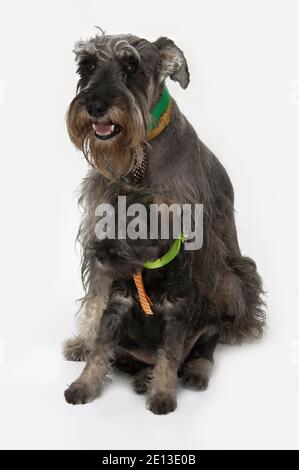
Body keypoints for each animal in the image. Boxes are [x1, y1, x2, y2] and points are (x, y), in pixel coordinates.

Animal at [65, 185, 220, 414]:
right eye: (108, 223)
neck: (146, 272)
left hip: (209, 328)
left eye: (134, 228)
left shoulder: (174, 319)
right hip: (124, 347)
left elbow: (168, 359)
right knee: (136, 364)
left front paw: (162, 395)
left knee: (202, 356)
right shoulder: (115, 310)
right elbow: (97, 354)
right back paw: (143, 379)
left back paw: (195, 374)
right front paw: (83, 386)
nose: (99, 255)